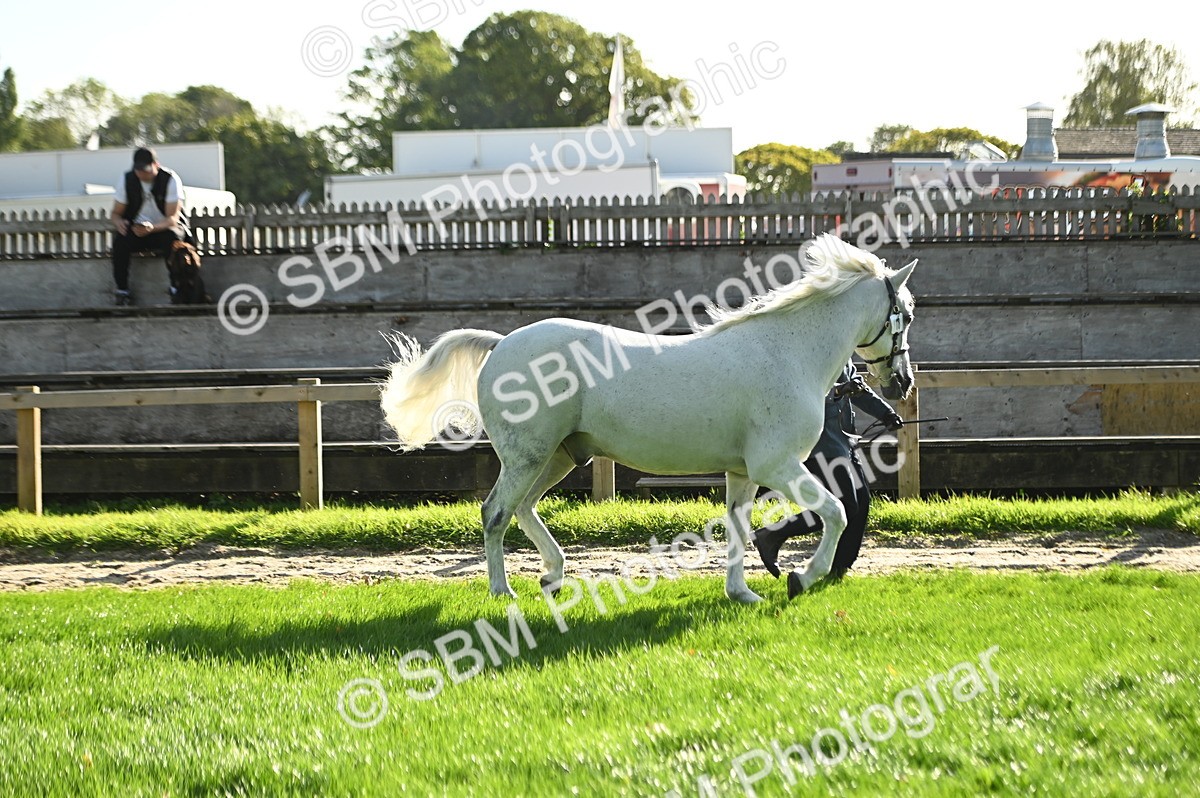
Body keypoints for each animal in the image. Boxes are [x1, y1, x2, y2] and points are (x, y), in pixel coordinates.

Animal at [380, 234, 917, 603]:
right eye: (907, 314)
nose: (903, 382)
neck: (786, 351)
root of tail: (500, 344)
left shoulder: (743, 471)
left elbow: (739, 528)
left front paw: (742, 593)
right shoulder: (778, 465)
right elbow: (836, 511)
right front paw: (801, 578)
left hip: (557, 457)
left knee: (522, 509)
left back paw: (552, 576)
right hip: (527, 456)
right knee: (495, 513)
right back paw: (502, 591)